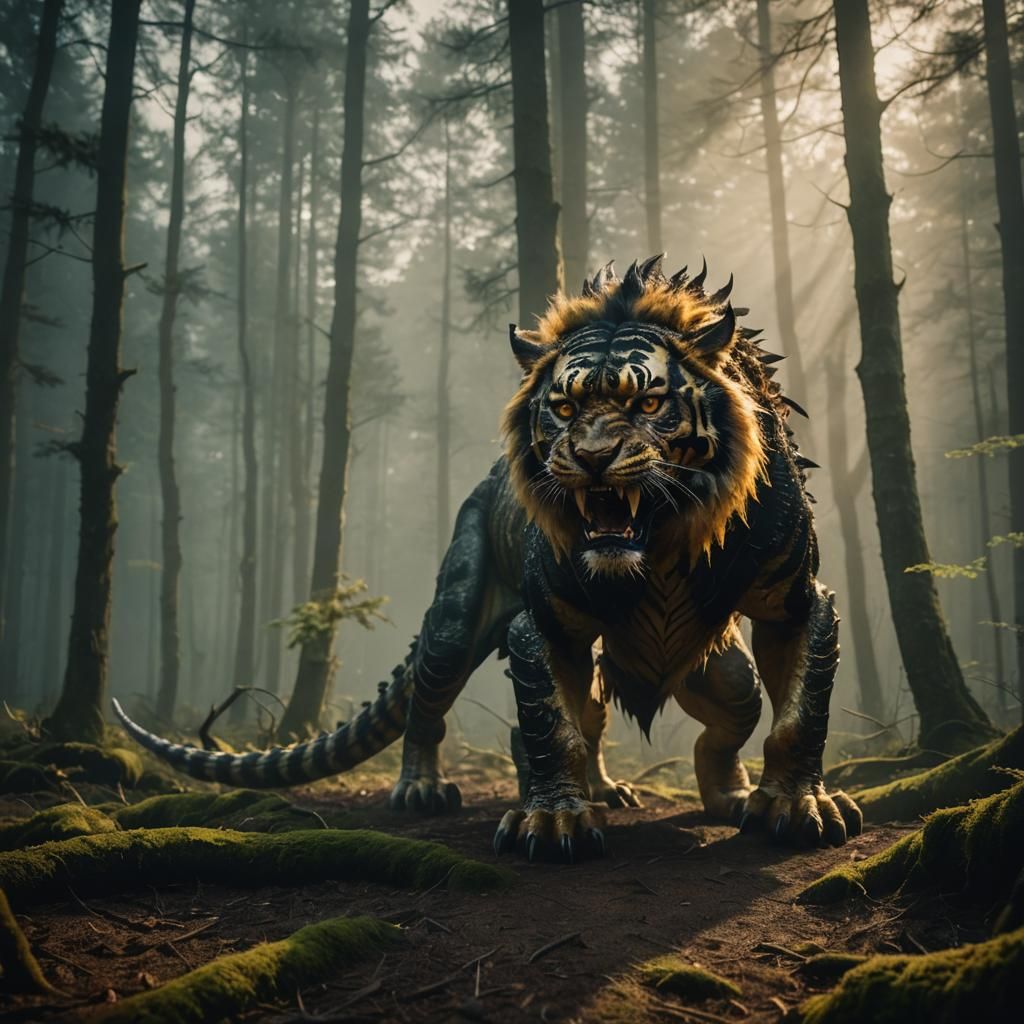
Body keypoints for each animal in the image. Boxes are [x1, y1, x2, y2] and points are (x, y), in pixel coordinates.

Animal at [114, 255, 861, 863]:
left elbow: (799, 717)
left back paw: (699, 795)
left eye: (649, 401)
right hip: (455, 622)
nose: (591, 458)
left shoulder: (795, 605)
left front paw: (797, 806)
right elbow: (551, 729)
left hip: (715, 669)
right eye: (565, 407)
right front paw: (554, 822)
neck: (661, 548)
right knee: (440, 709)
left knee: (723, 715)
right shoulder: (544, 626)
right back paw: (425, 790)